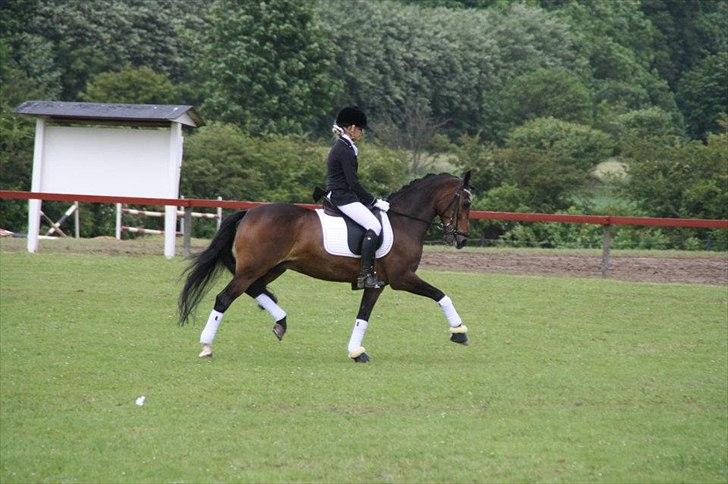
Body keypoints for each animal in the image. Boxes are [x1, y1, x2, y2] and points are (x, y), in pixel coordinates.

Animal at [178, 171, 473, 362]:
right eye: (467, 202)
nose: (461, 239)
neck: (404, 221)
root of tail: (249, 212)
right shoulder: (403, 278)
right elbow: (441, 295)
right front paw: (459, 332)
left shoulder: (377, 284)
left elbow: (363, 316)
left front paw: (356, 352)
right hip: (254, 267)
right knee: (224, 297)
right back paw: (206, 347)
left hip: (271, 267)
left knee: (254, 289)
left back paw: (281, 322)